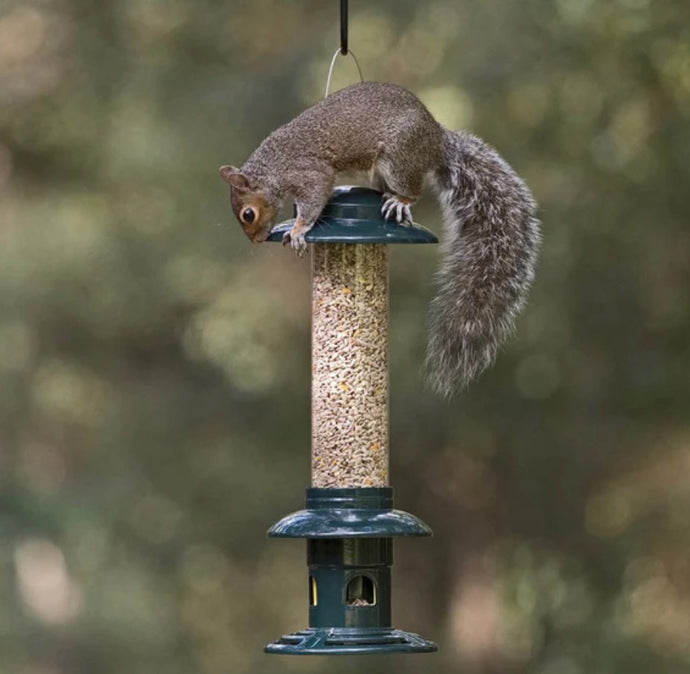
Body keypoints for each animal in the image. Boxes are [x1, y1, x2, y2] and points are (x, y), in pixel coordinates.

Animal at [218, 79, 540, 396]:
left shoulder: (309, 173)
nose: (257, 241)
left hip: (399, 157)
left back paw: (401, 201)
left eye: (248, 214)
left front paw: (298, 229)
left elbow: (314, 197)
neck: (273, 169)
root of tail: (437, 139)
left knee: (412, 189)